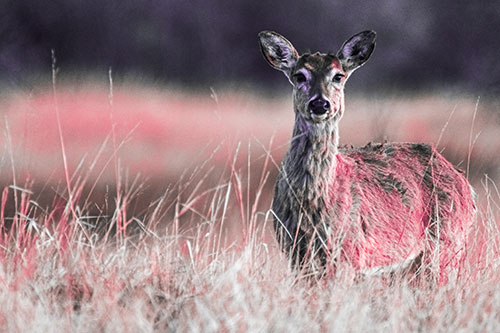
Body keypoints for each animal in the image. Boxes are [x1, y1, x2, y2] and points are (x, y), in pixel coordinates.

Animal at [258, 29, 476, 282]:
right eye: (299, 76)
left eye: (338, 76)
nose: (320, 103)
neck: (312, 205)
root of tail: (466, 185)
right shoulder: (295, 252)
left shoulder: (349, 252)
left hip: (447, 245)